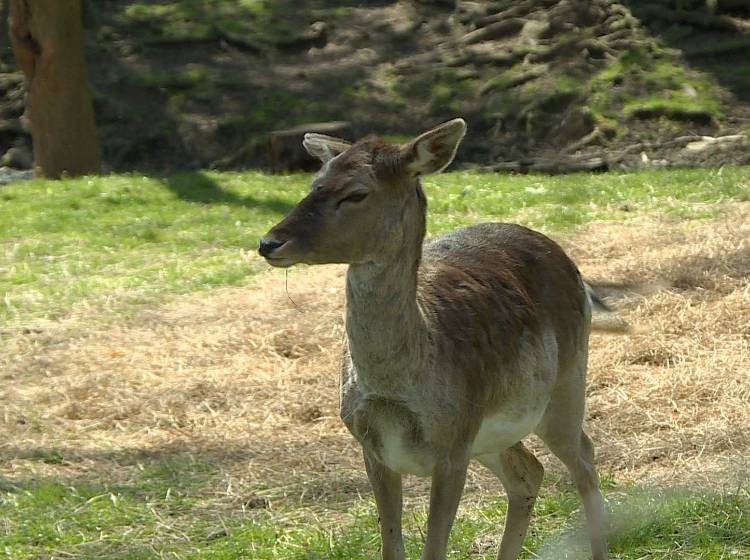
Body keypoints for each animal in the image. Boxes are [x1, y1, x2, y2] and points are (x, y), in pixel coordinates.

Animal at [258, 118, 612, 560]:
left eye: (356, 193)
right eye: (314, 183)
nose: (269, 242)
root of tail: (569, 263)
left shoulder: (452, 446)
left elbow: (433, 549)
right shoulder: (372, 447)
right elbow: (392, 547)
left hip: (565, 385)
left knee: (583, 456)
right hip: (491, 434)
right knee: (529, 471)